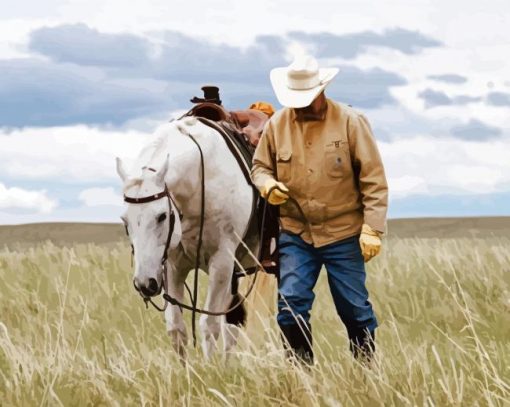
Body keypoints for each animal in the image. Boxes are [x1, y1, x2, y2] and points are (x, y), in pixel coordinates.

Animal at [116, 116, 262, 358]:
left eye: (162, 216)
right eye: (125, 221)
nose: (145, 284)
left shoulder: (222, 263)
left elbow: (209, 325)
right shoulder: (173, 265)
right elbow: (176, 328)